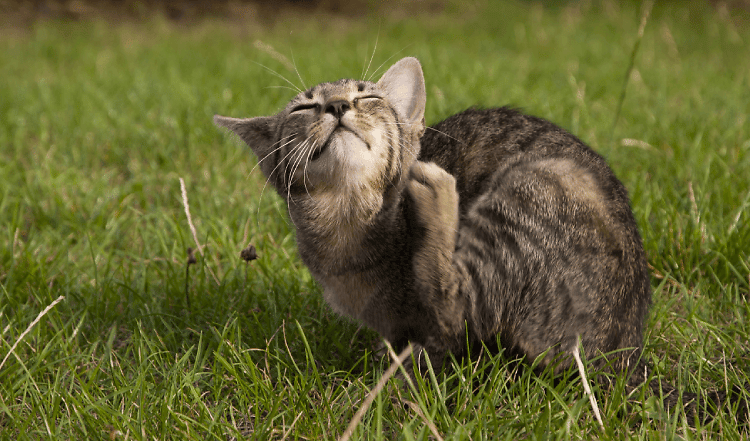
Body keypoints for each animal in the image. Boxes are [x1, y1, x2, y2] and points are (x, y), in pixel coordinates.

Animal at [214, 57, 748, 422]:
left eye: (368, 98)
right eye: (305, 107)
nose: (338, 105)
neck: (347, 222)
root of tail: (626, 357)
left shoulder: (431, 325)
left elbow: (438, 333)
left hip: (530, 187)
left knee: (456, 301)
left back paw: (439, 194)